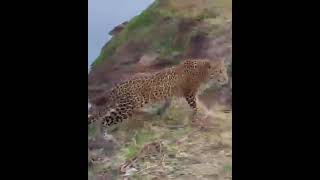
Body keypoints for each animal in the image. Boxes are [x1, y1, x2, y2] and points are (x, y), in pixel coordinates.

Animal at [88, 58, 228, 134]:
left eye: (225, 70)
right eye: (220, 71)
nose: (226, 79)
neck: (203, 74)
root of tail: (115, 88)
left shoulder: (178, 96)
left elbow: (168, 104)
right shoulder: (189, 93)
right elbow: (195, 107)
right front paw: (196, 116)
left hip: (126, 105)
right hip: (128, 107)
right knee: (104, 120)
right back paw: (107, 137)